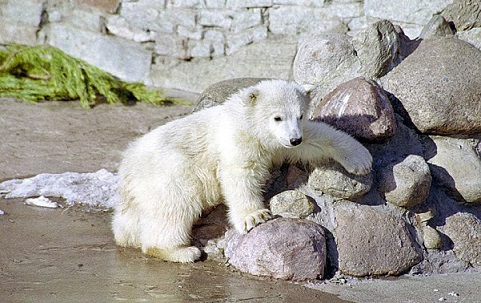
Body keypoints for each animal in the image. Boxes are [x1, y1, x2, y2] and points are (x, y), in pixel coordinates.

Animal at [113, 80, 372, 264]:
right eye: (277, 117)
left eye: (299, 115)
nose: (294, 139)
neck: (248, 122)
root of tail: (126, 168)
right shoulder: (237, 139)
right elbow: (239, 175)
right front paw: (255, 216)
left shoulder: (279, 142)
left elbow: (315, 138)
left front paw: (361, 159)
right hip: (170, 171)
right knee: (175, 205)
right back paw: (181, 251)